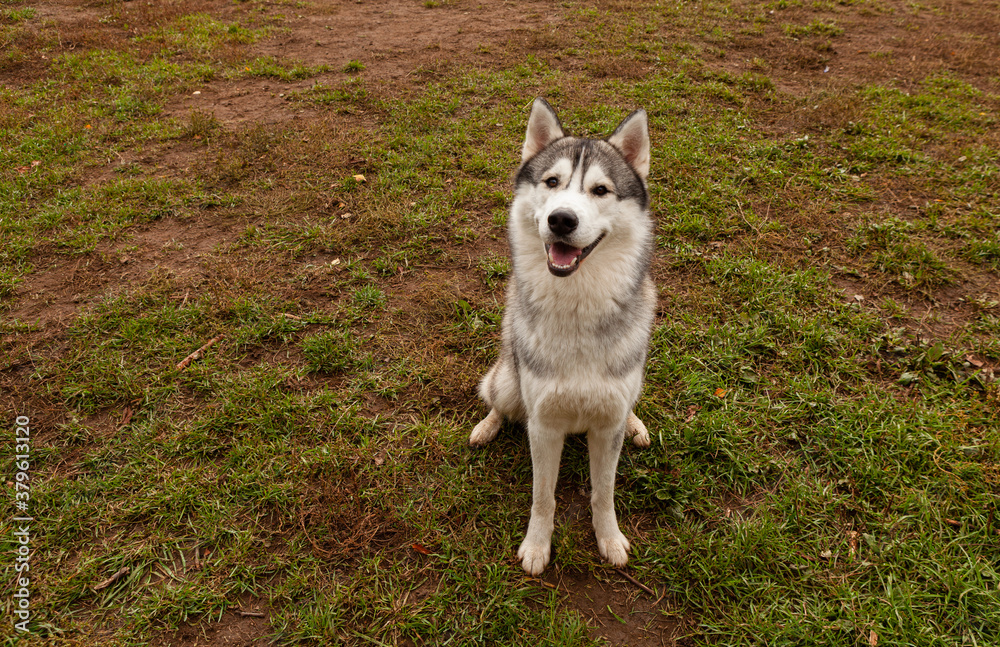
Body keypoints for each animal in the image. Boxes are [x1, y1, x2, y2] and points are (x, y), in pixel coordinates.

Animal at [470, 98, 656, 576]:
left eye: (601, 190)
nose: (561, 219)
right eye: (552, 182)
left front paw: (609, 539)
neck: (576, 304)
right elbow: (543, 497)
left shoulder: (606, 425)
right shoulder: (544, 425)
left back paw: (636, 422)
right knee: (500, 400)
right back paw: (486, 426)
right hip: (508, 378)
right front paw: (537, 546)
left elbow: (603, 493)